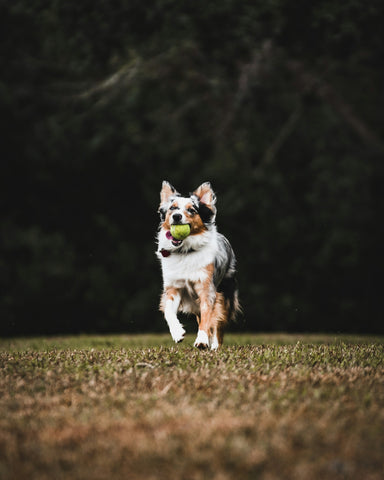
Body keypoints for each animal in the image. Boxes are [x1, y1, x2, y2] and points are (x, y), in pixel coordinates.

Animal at [154, 180, 238, 348]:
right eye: (172, 208)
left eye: (191, 210)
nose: (177, 216)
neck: (185, 251)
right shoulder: (173, 287)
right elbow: (168, 311)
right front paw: (177, 332)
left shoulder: (207, 289)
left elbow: (207, 318)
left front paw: (202, 340)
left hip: (225, 293)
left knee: (218, 323)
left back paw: (215, 346)